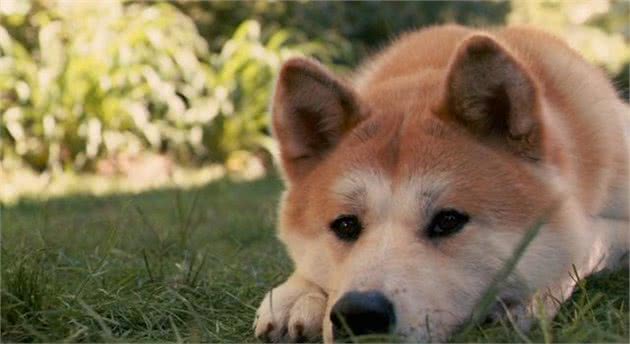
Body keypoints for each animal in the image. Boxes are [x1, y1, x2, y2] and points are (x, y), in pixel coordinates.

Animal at [254, 24, 628, 342]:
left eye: (448, 221)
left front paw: (530, 297)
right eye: (345, 225)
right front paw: (298, 294)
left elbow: (587, 243)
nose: (360, 314)